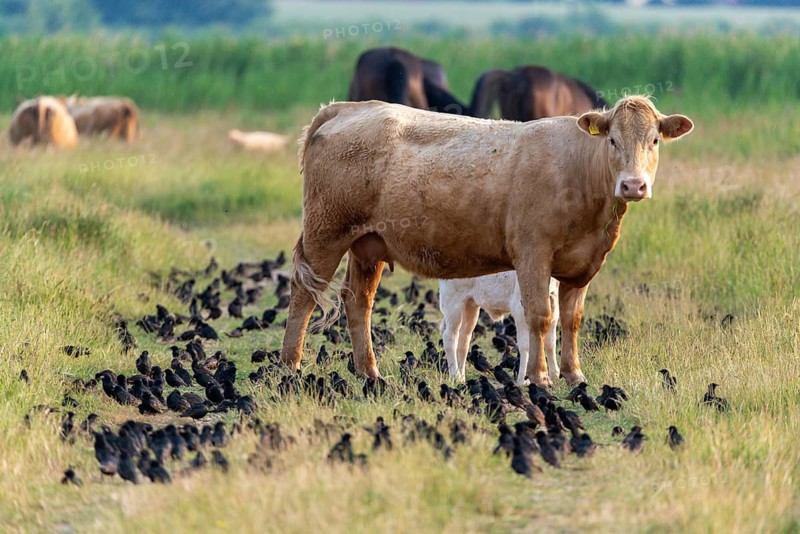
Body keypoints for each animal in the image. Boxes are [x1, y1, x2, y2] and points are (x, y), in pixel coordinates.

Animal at [279, 95, 693, 386]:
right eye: (612, 140)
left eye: (655, 140)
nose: (633, 185)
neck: (579, 171)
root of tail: (348, 108)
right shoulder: (532, 254)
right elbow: (540, 317)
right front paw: (539, 378)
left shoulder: (582, 265)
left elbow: (571, 319)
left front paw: (574, 375)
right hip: (325, 234)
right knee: (302, 296)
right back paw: (289, 366)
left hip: (367, 245)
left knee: (358, 302)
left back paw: (370, 373)